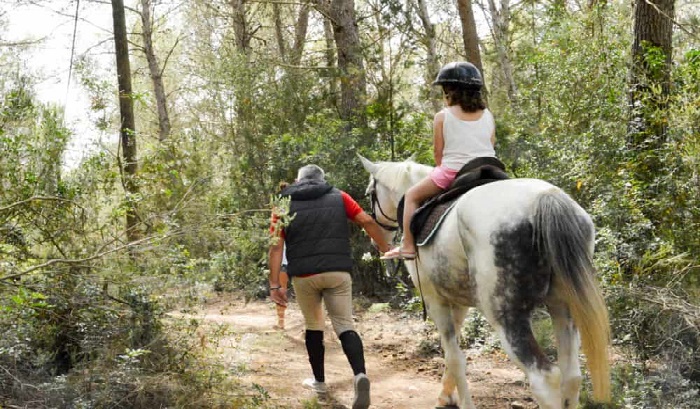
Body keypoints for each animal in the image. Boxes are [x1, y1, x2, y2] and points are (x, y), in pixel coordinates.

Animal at [358, 155, 608, 408]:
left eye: (370, 193)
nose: (375, 236)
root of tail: (545, 199)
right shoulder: (459, 302)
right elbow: (453, 351)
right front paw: (446, 395)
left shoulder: (434, 299)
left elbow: (454, 357)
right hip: (564, 307)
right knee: (572, 376)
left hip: (505, 315)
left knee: (544, 379)